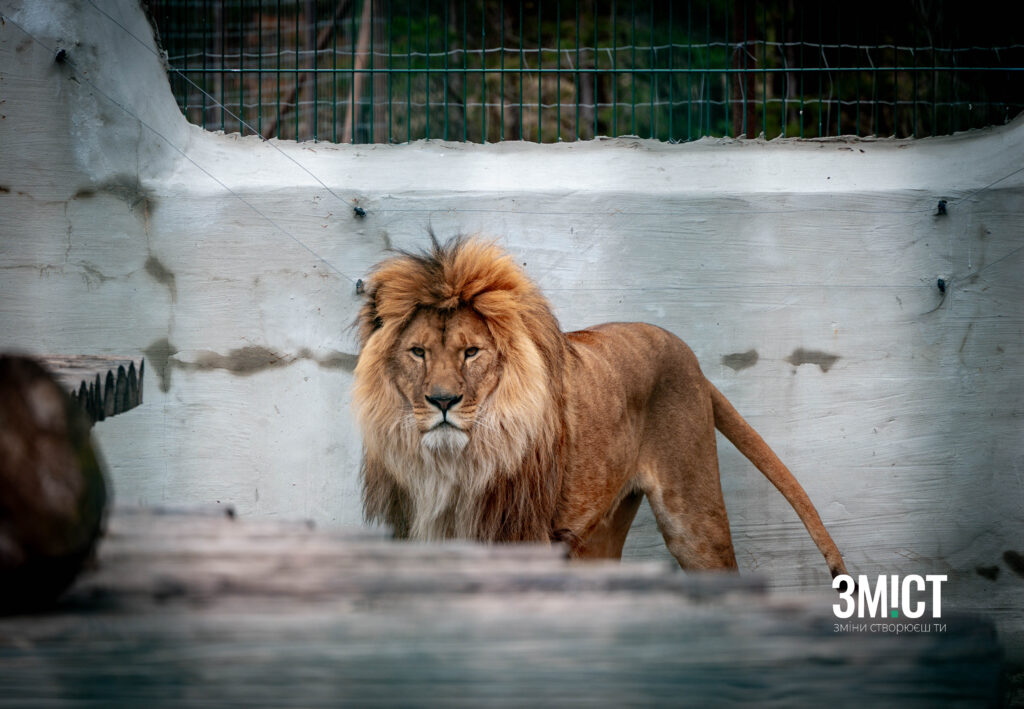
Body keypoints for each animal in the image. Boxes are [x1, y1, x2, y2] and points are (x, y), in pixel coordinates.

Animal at [353, 236, 848, 578]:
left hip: (694, 516)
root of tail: (688, 354)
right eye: (417, 353)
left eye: (472, 352)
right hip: (602, 528)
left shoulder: (520, 537)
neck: (451, 464)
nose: (442, 401)